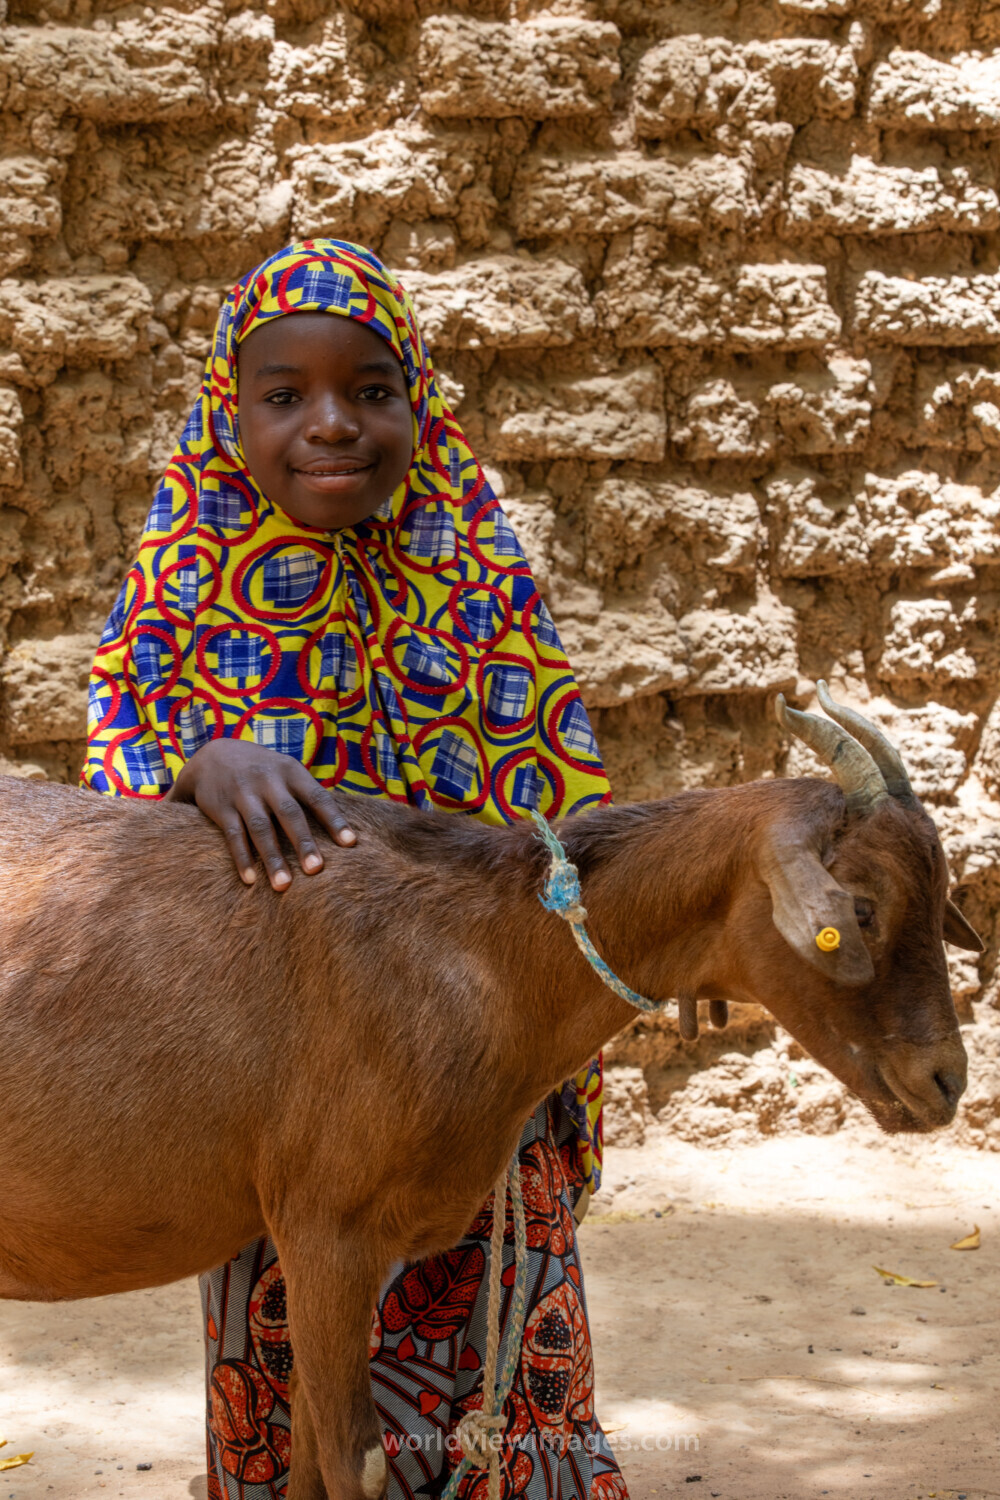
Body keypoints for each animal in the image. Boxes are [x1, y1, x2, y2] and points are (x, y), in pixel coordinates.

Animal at [0, 688, 980, 1500]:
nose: (946, 1081)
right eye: (860, 910)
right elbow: (353, 1463)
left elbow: (313, 1456)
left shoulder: (349, 1246)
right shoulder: (324, 1228)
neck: (482, 953)